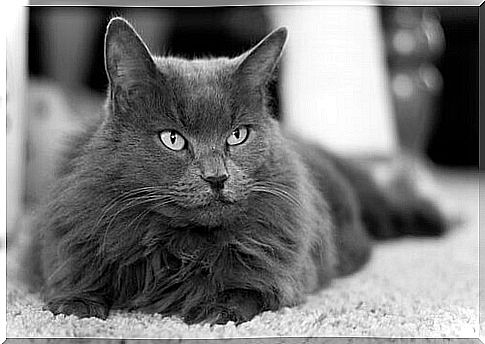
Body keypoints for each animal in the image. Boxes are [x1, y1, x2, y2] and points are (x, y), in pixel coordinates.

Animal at [22, 18, 446, 326]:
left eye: (237, 135)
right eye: (172, 139)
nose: (217, 177)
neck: (179, 245)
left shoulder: (283, 272)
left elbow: (248, 289)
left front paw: (213, 311)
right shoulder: (65, 241)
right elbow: (70, 278)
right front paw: (77, 308)